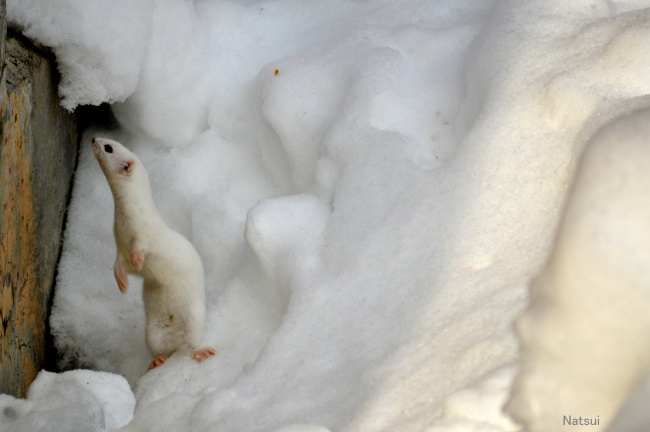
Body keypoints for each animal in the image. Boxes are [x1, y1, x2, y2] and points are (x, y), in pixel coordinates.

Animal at [91, 137, 215, 370]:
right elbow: (120, 266)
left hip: (194, 320)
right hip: (152, 332)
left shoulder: (145, 236)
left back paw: (200, 352)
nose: (94, 138)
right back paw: (157, 361)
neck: (124, 225)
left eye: (109, 147)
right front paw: (122, 283)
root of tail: (174, 339)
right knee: (161, 349)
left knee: (189, 345)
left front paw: (138, 258)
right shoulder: (120, 246)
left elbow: (142, 249)